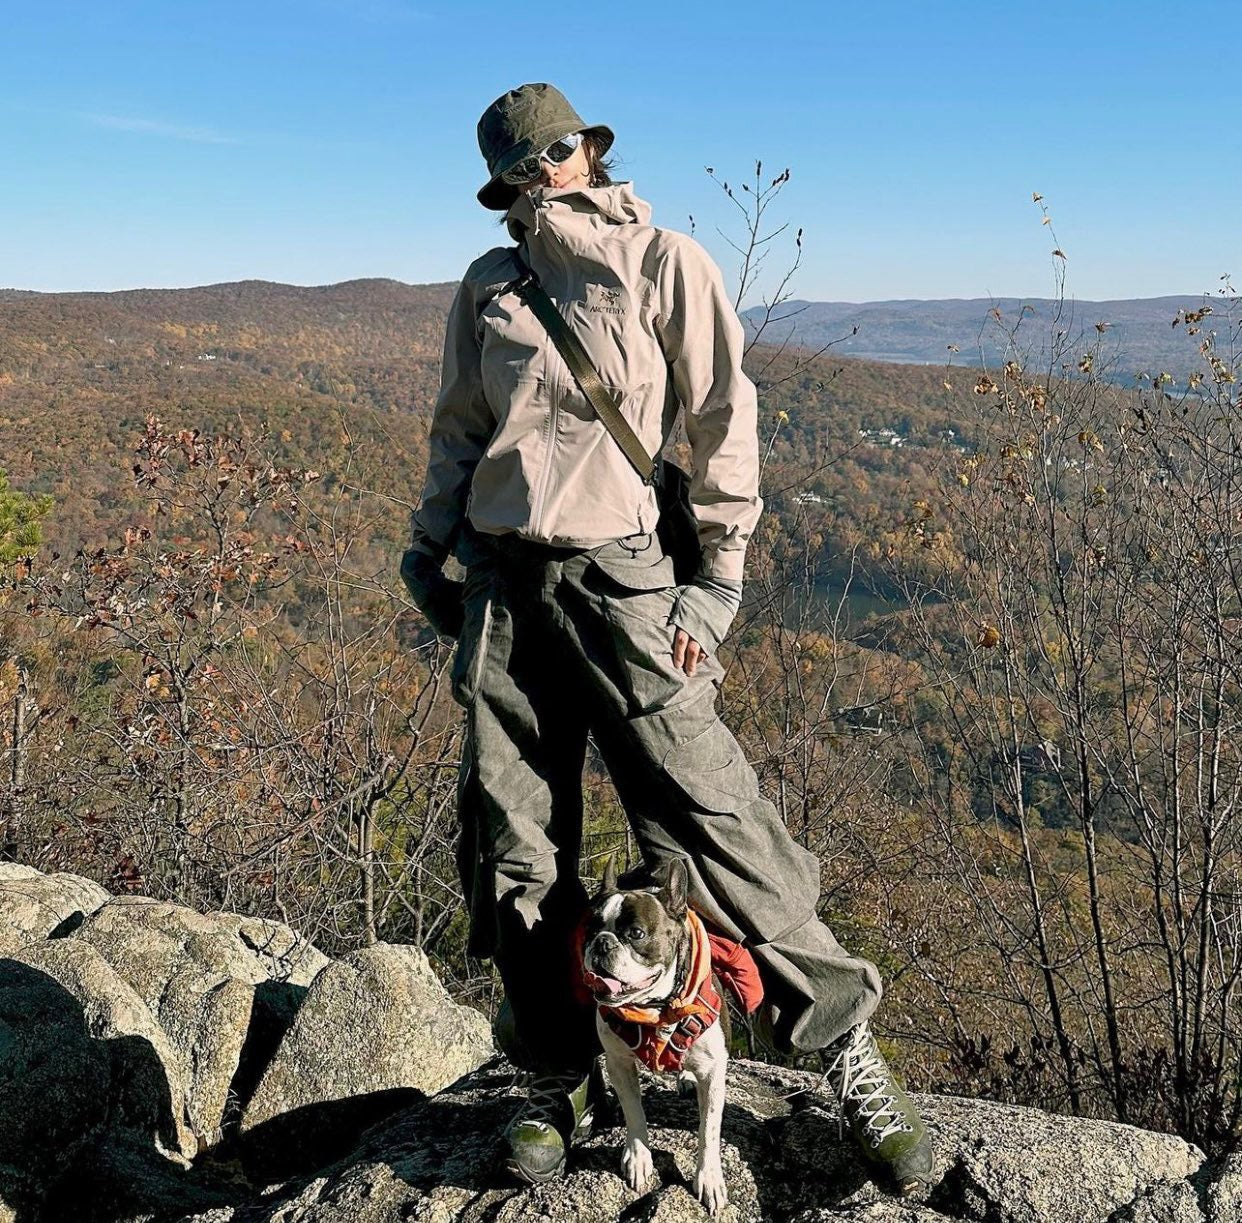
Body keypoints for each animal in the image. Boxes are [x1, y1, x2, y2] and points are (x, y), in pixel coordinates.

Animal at [573, 854, 760, 1216]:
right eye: (590, 929)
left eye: (636, 933)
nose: (602, 942)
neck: (655, 1008)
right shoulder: (619, 1063)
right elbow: (634, 1111)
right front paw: (639, 1157)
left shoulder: (714, 1073)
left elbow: (709, 1129)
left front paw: (709, 1178)